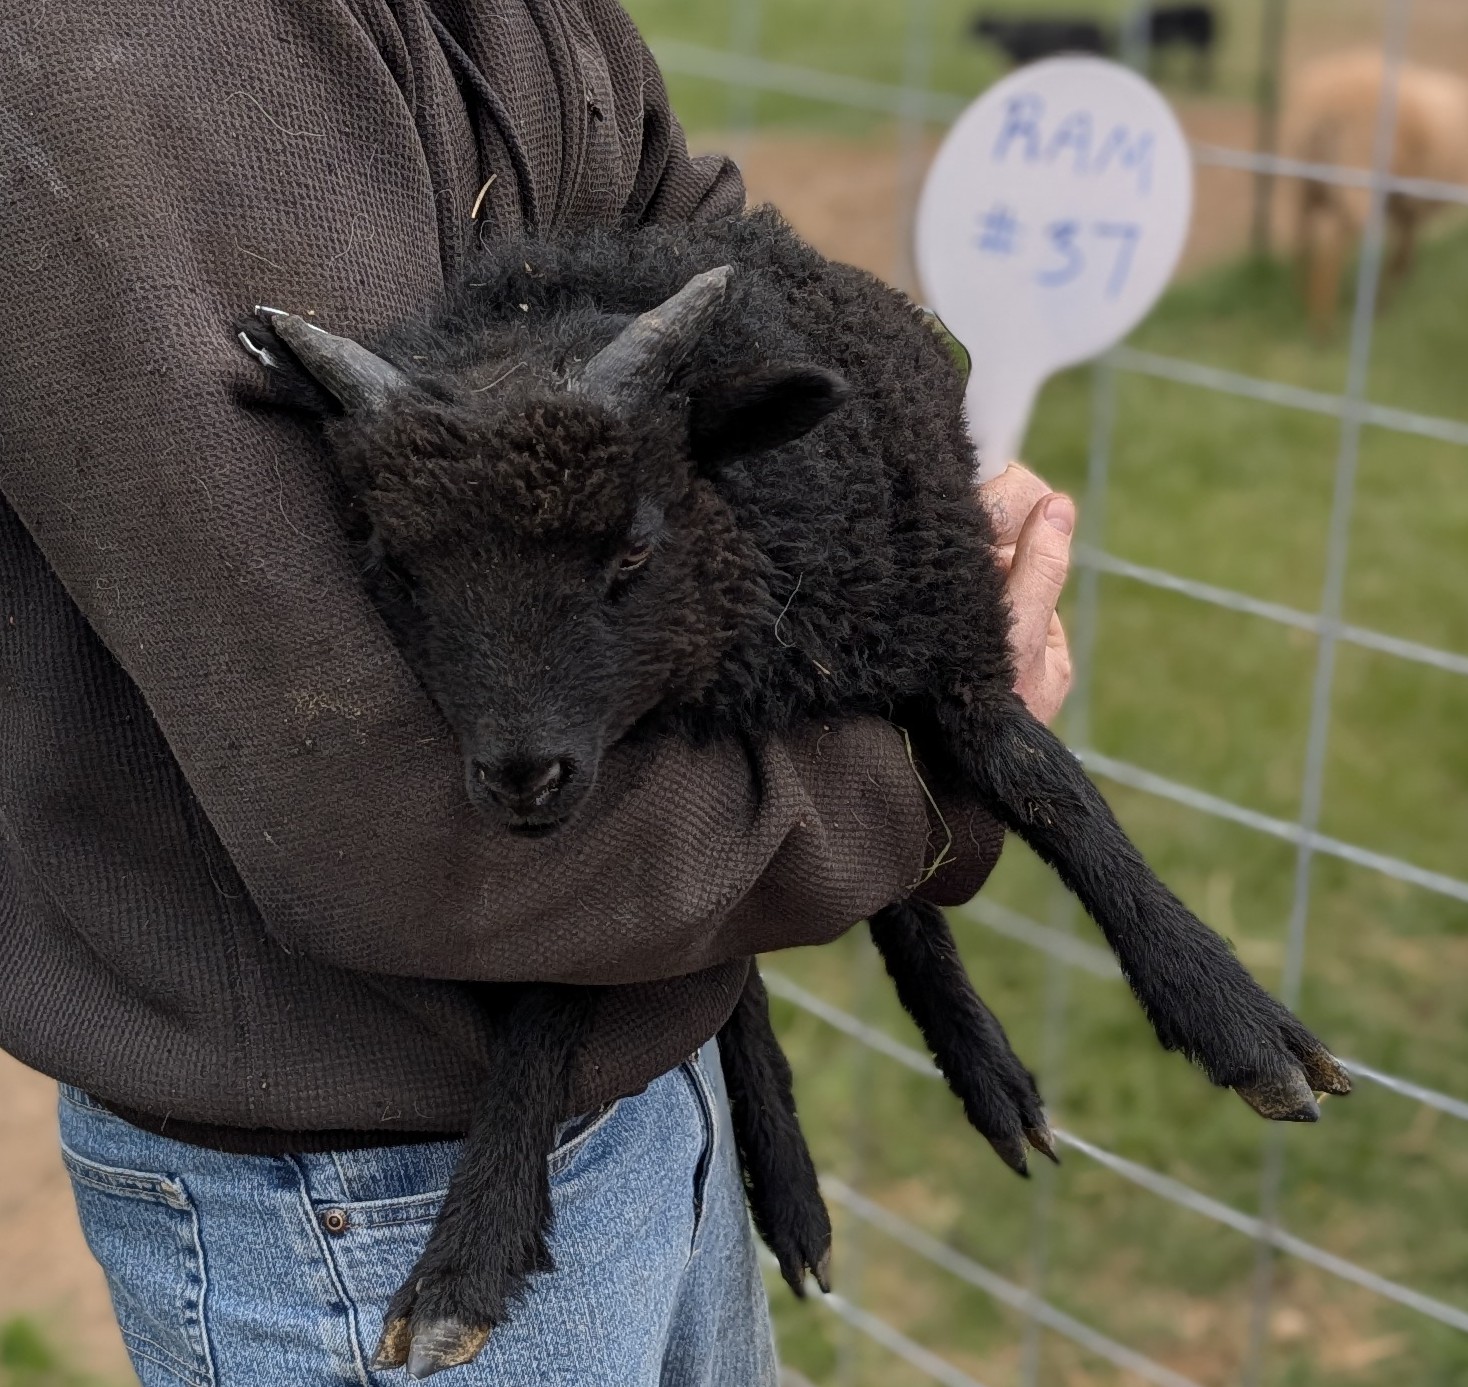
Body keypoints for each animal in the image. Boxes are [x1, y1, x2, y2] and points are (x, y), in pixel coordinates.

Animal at [1288, 49, 1468, 334]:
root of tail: (1327, 108)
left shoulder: (1406, 206)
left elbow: (1403, 253)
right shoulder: (1410, 205)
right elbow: (1400, 257)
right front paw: (1384, 305)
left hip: (1306, 185)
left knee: (1301, 239)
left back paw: (1300, 299)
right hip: (1355, 184)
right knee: (1330, 249)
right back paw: (1324, 327)